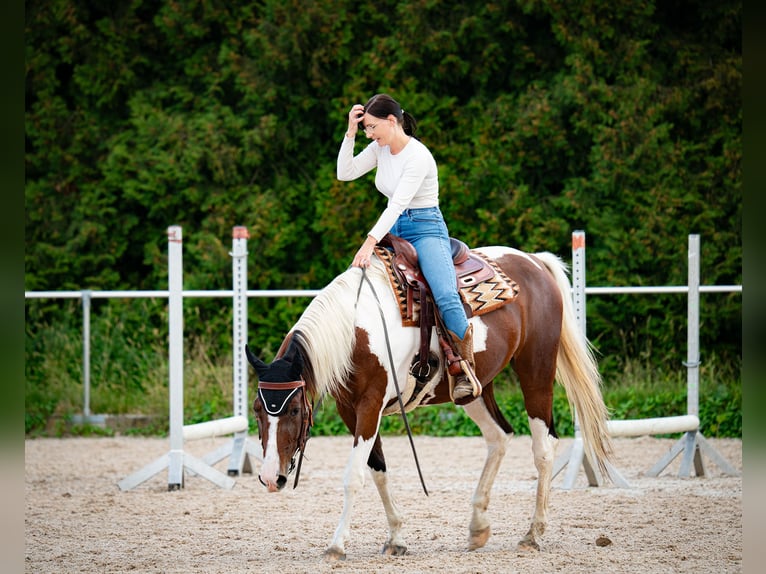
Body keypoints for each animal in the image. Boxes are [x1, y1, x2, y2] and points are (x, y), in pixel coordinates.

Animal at [245, 244, 613, 560]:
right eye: (256, 411)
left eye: (294, 409)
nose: (271, 478)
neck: (357, 329)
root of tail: (535, 262)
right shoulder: (350, 410)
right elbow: (378, 470)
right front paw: (396, 538)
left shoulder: (370, 406)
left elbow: (354, 476)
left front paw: (336, 545)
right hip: (475, 389)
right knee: (500, 436)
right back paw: (478, 527)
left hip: (536, 370)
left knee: (543, 447)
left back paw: (533, 534)